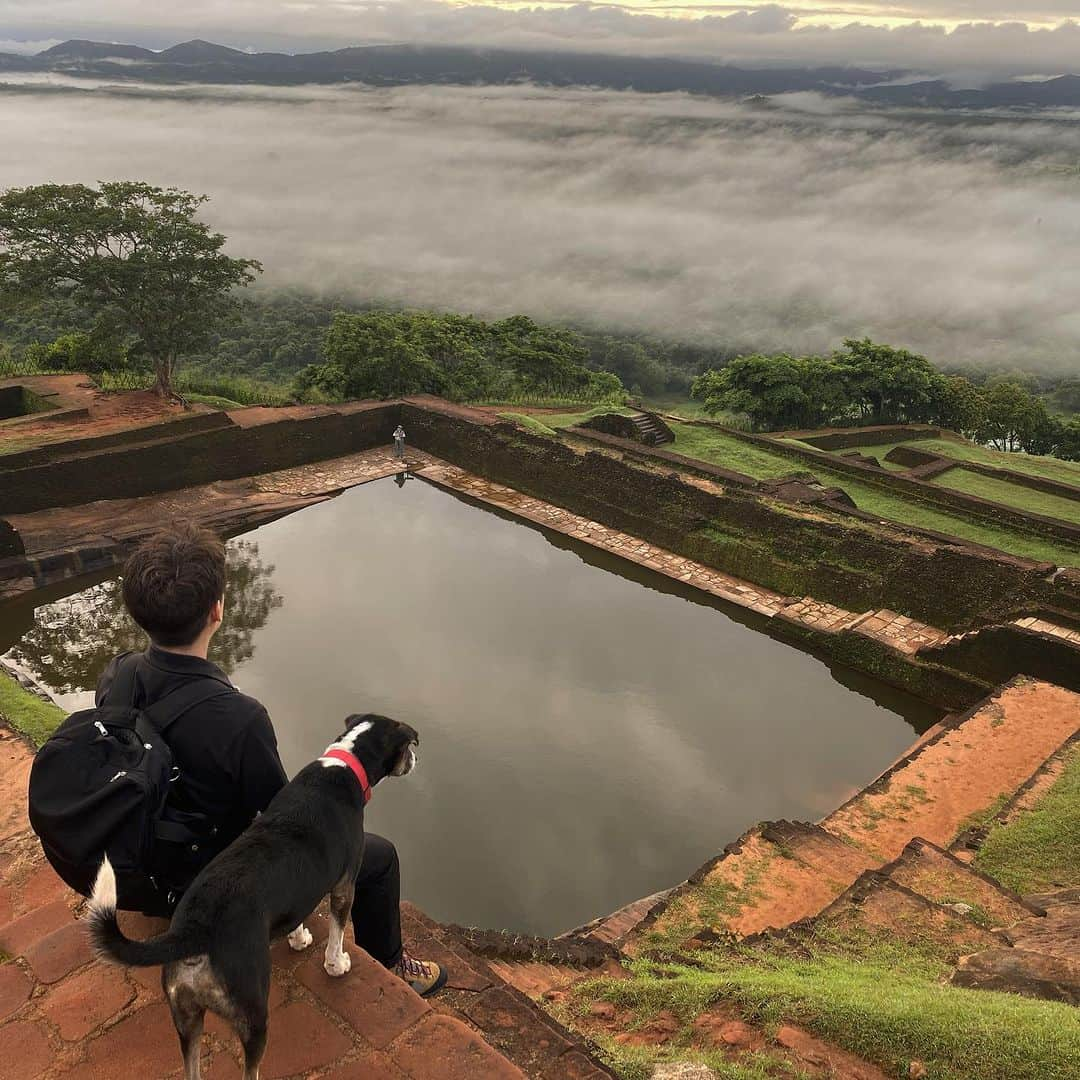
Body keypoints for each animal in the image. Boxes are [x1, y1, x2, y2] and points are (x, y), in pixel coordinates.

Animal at [85, 717, 416, 1080]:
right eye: (408, 746)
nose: (415, 758)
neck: (346, 761)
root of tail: (194, 931)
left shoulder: (297, 890)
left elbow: (296, 916)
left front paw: (298, 938)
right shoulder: (345, 884)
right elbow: (337, 933)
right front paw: (336, 964)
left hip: (185, 1017)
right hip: (252, 1015)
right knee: (251, 1066)